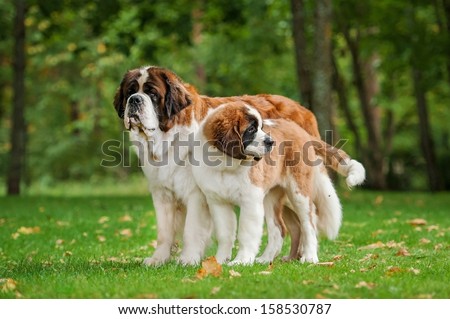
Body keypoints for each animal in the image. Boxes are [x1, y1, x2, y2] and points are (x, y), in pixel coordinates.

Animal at [193, 102, 366, 264]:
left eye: (261, 127)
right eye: (251, 129)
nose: (271, 142)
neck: (226, 165)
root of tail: (301, 131)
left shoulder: (250, 202)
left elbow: (246, 233)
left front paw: (241, 260)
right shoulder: (218, 202)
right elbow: (225, 234)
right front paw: (219, 261)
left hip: (298, 193)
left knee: (309, 223)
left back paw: (309, 257)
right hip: (270, 197)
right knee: (279, 229)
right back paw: (266, 259)